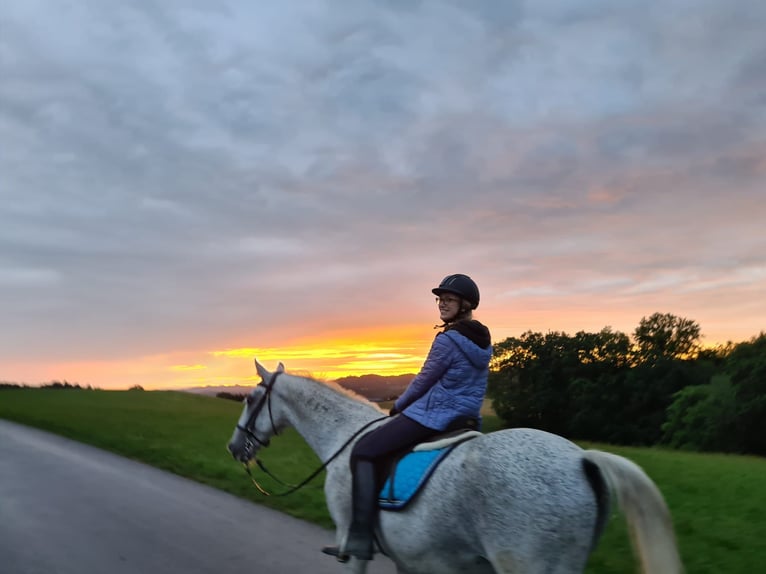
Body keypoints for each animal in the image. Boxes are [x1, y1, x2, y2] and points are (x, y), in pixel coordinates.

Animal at [228, 362, 684, 572]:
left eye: (249, 398)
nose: (234, 447)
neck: (344, 436)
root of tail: (581, 458)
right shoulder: (410, 557)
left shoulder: (354, 547)